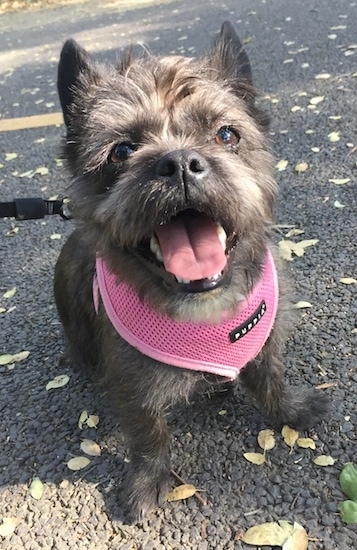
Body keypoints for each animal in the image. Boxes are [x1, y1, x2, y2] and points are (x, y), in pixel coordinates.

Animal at [53, 21, 328, 520]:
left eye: (226, 135)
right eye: (121, 151)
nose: (180, 161)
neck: (204, 304)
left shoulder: (264, 343)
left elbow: (271, 378)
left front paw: (291, 410)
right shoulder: (132, 382)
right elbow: (149, 433)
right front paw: (149, 481)